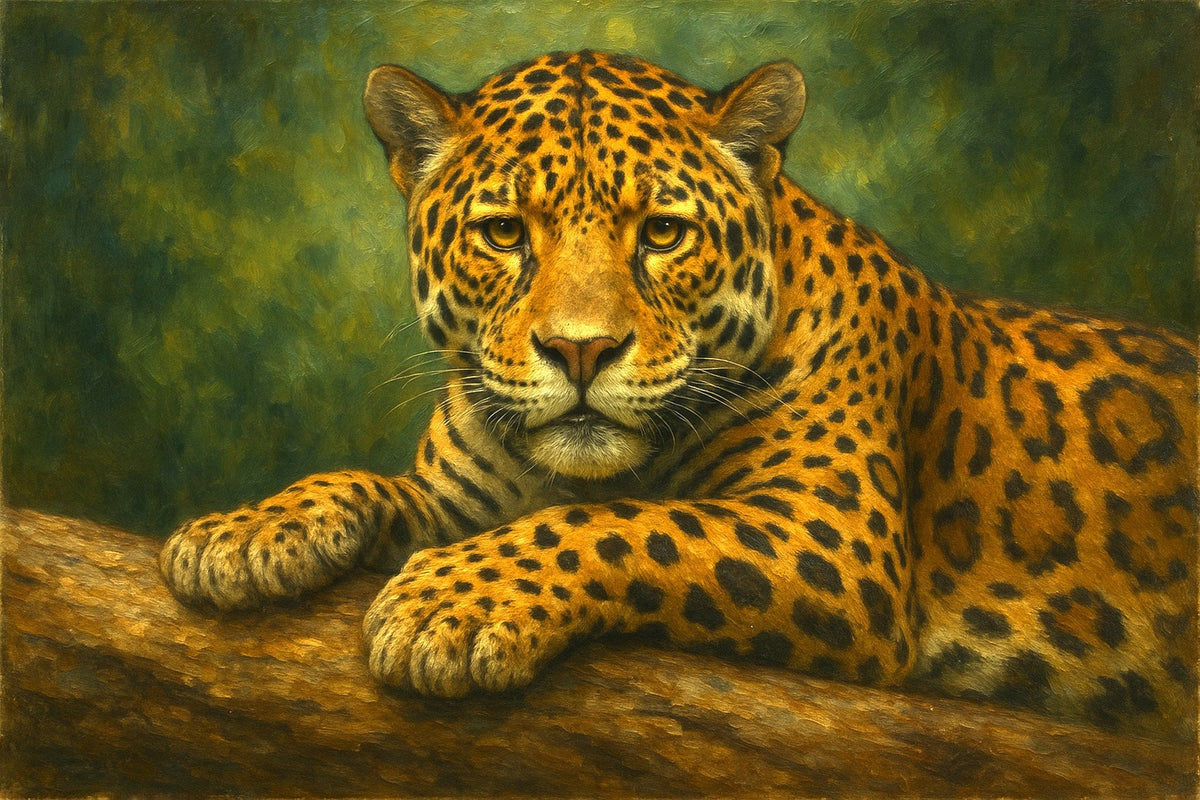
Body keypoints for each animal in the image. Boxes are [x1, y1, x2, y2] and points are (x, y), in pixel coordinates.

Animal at [160, 51, 1198, 741]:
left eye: (662, 233)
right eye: (504, 232)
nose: (580, 350)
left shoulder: (830, 533)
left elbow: (625, 525)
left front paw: (449, 607)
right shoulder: (460, 499)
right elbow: (367, 483)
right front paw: (243, 534)